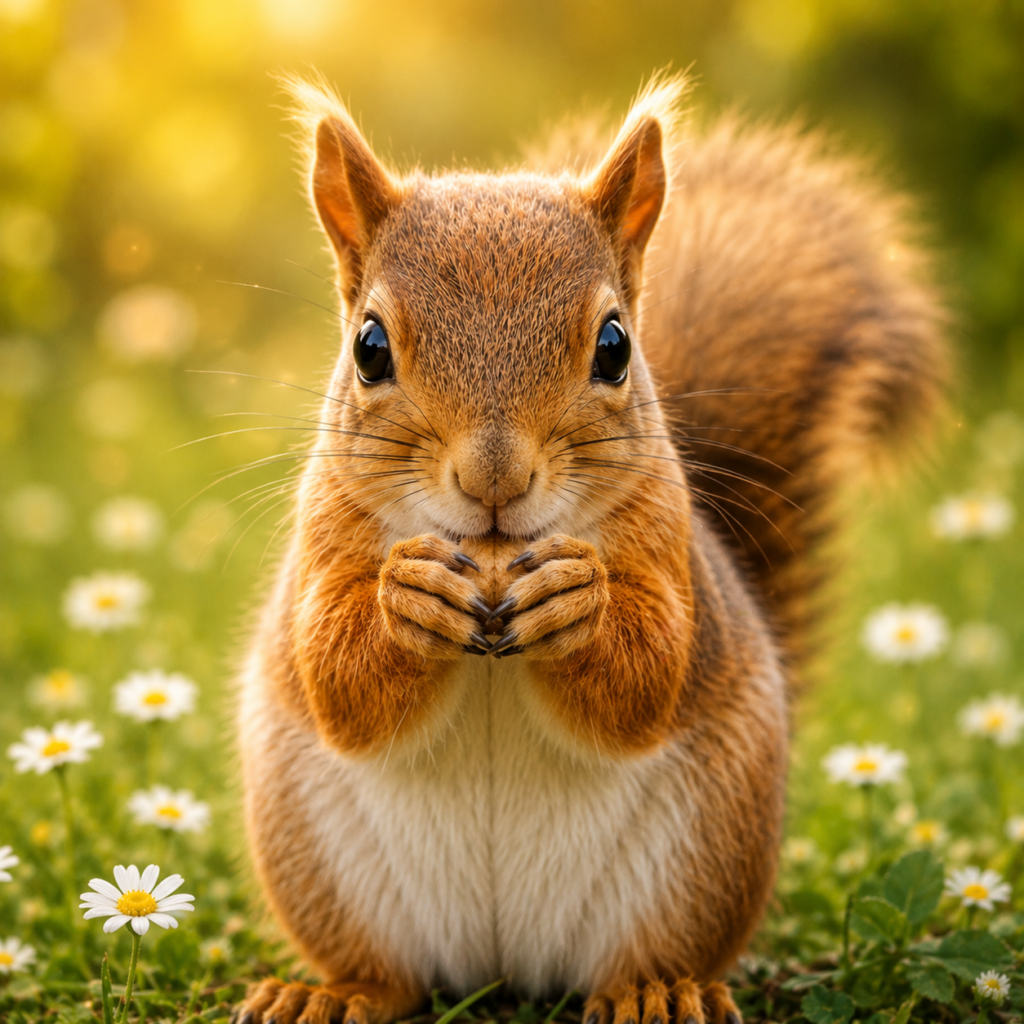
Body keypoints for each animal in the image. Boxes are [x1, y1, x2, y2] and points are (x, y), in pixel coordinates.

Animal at [235, 74, 945, 1024]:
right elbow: (334, 676)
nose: (494, 479)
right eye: (369, 348)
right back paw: (333, 995)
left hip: (700, 862)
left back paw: (656, 993)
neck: (494, 557)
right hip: (319, 864)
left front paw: (582, 601)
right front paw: (404, 598)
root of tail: (504, 964)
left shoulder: (671, 549)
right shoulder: (324, 538)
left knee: (640, 959)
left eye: (614, 346)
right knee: (388, 976)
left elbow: (650, 673)